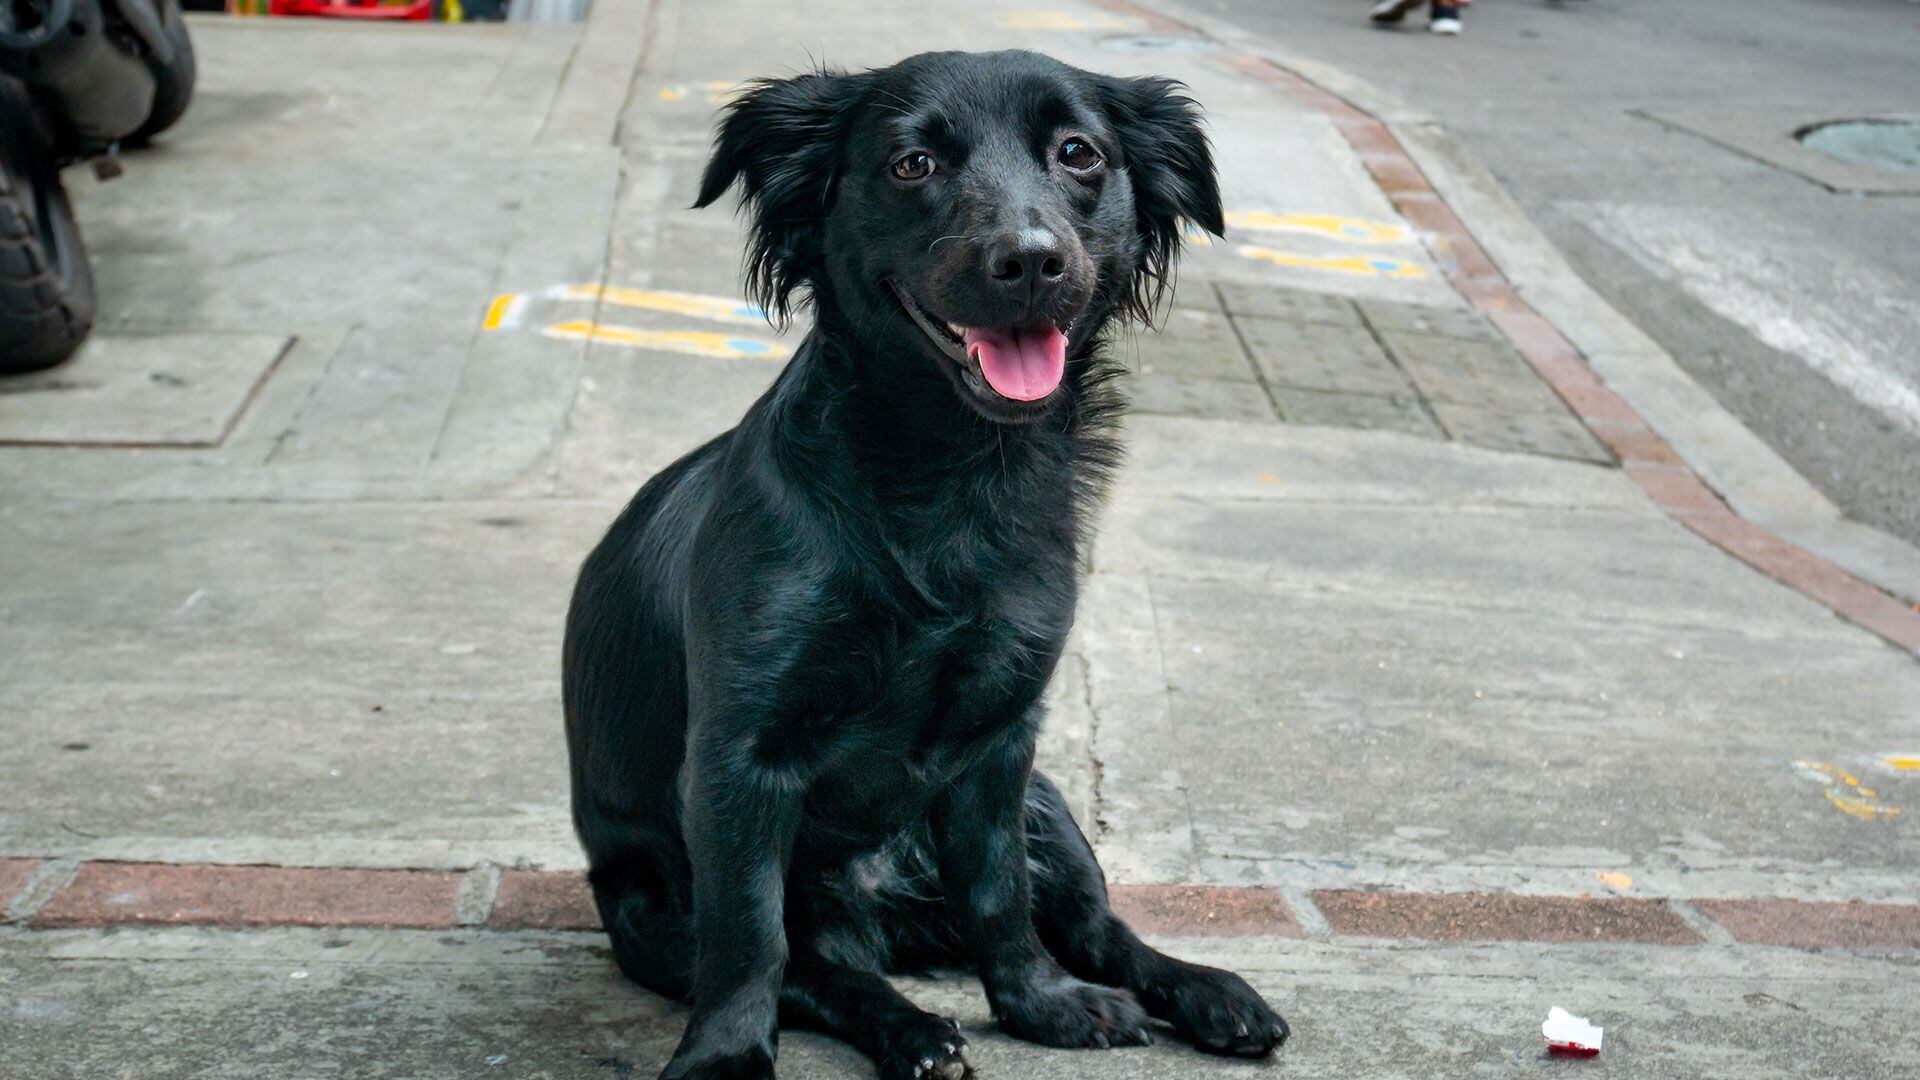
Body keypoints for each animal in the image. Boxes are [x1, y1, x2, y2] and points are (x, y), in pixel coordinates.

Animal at [563, 49, 1287, 1080]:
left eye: (1079, 153)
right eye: (913, 164)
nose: (1031, 260)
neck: (950, 477)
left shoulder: (1002, 741)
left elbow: (1000, 899)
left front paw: (1038, 1005)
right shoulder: (740, 761)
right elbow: (750, 941)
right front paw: (725, 1059)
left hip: (1052, 807)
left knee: (1097, 928)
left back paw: (1207, 993)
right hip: (650, 910)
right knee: (824, 971)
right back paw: (911, 1031)